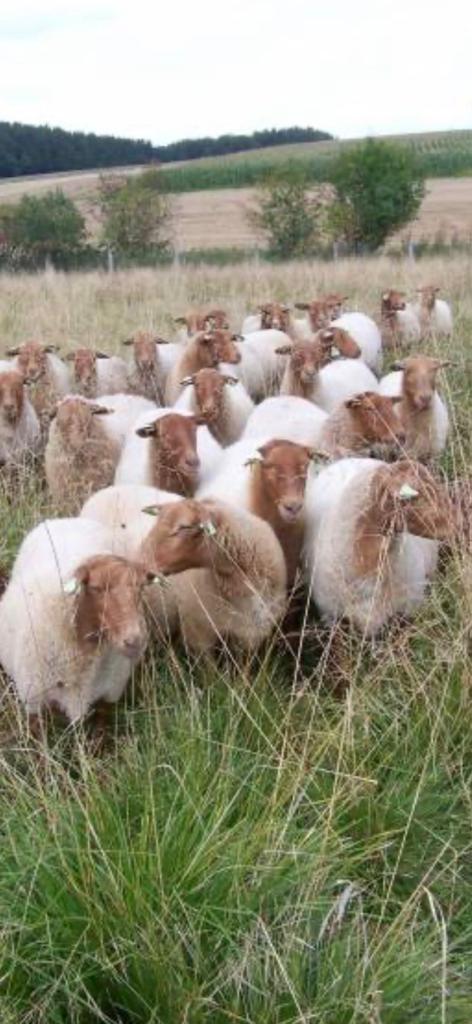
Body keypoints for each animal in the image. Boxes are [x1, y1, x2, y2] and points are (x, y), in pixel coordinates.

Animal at [0, 517, 163, 726]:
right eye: (96, 588)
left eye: (140, 587)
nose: (134, 640)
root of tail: (65, 519)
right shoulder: (34, 704)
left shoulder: (106, 701)